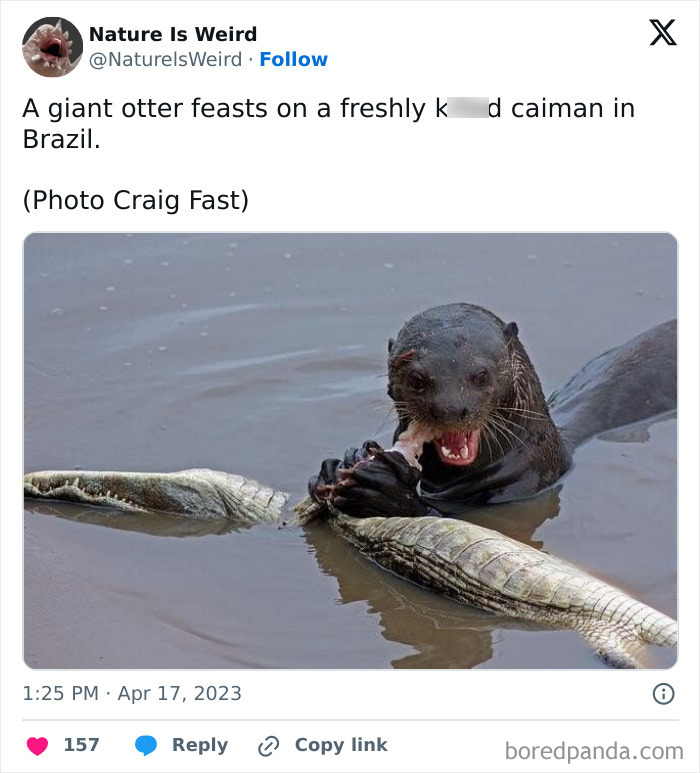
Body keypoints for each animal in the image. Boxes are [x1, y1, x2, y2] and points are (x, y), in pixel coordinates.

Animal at [309, 304, 676, 518]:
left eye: (480, 375)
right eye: (416, 379)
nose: (450, 408)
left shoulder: (522, 488)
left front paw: (386, 490)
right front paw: (336, 466)